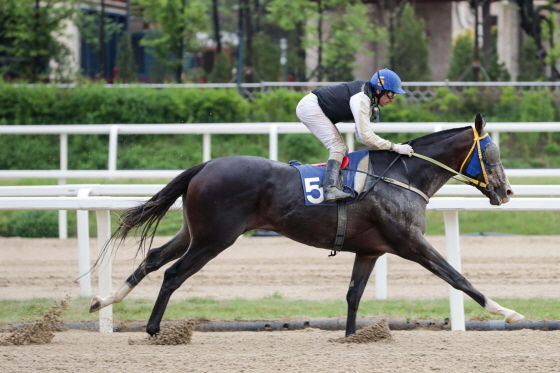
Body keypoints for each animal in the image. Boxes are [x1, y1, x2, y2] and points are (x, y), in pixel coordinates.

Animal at [89, 112, 524, 336]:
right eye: (491, 153)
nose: (506, 192)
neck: (402, 176)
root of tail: (206, 164)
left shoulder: (369, 250)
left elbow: (353, 296)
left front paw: (351, 336)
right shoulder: (410, 242)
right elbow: (457, 277)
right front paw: (507, 313)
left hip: (193, 232)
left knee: (153, 259)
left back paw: (103, 301)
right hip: (215, 238)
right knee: (174, 274)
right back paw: (153, 329)